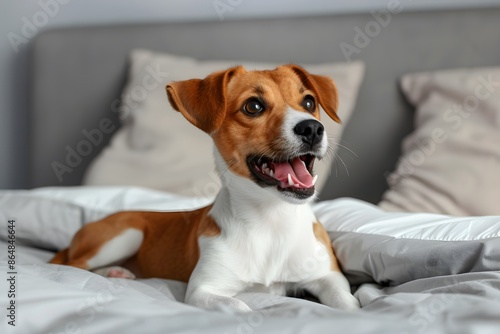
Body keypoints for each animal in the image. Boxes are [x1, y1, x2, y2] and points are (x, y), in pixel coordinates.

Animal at [49, 64, 360, 310]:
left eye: (308, 102)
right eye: (253, 106)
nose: (312, 128)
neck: (271, 220)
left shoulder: (329, 277)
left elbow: (349, 303)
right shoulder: (204, 290)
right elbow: (239, 306)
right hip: (125, 234)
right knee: (73, 265)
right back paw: (110, 271)